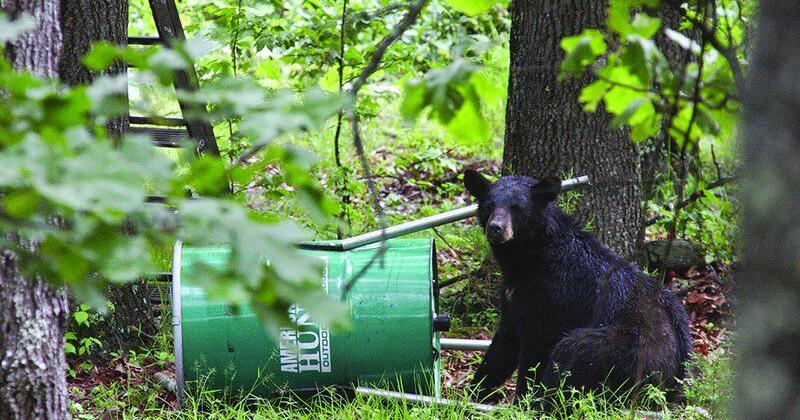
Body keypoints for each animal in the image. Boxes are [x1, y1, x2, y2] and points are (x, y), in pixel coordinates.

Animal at [464, 169, 692, 405]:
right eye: (489, 205)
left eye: (517, 208)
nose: (496, 228)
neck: (531, 256)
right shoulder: (514, 296)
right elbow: (504, 344)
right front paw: (473, 392)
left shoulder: (551, 296)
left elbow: (535, 351)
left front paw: (522, 402)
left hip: (621, 350)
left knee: (570, 353)